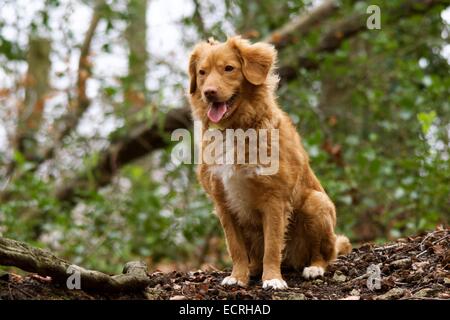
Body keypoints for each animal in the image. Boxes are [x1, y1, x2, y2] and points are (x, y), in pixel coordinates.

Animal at [187, 35, 352, 290]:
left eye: (229, 68)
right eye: (202, 72)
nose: (209, 92)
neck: (235, 130)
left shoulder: (274, 198)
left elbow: (273, 246)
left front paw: (273, 278)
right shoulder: (223, 202)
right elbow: (235, 247)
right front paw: (238, 276)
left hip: (316, 203)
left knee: (325, 254)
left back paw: (313, 268)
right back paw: (253, 269)